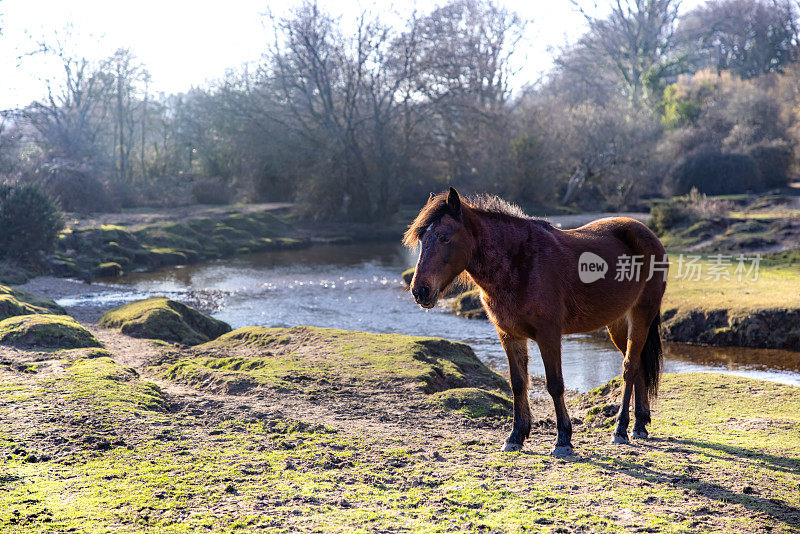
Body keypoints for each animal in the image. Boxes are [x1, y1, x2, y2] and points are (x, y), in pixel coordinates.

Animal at [404, 187, 664, 456]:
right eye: (422, 239)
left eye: (444, 237)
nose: (420, 291)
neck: (519, 264)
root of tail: (645, 233)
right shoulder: (509, 335)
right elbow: (518, 383)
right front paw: (516, 436)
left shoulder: (548, 334)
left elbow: (555, 383)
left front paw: (563, 439)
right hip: (618, 322)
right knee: (638, 366)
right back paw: (640, 424)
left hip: (641, 315)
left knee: (629, 367)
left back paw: (621, 429)